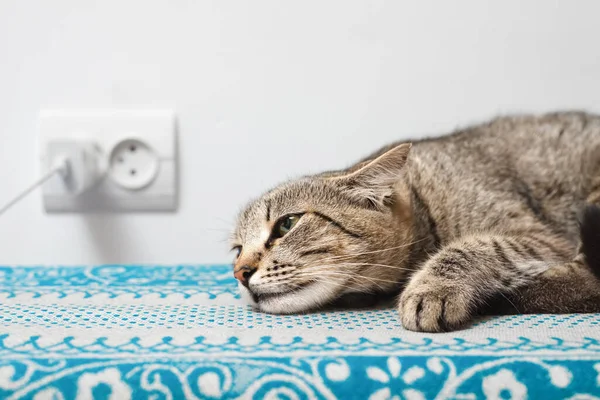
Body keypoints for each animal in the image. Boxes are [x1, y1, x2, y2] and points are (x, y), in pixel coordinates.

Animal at [230, 111, 600, 332]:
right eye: (236, 250)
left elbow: (474, 247)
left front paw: (430, 288)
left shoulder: (541, 237)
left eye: (287, 224)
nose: (240, 273)